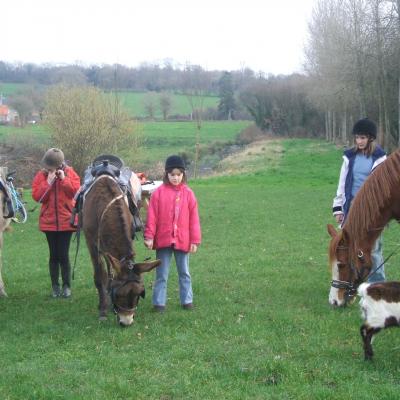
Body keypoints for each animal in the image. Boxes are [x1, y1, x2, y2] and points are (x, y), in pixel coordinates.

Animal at [82, 174, 160, 324]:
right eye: (119, 295)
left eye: (139, 294)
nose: (126, 321)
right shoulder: (92, 245)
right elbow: (99, 276)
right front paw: (103, 309)